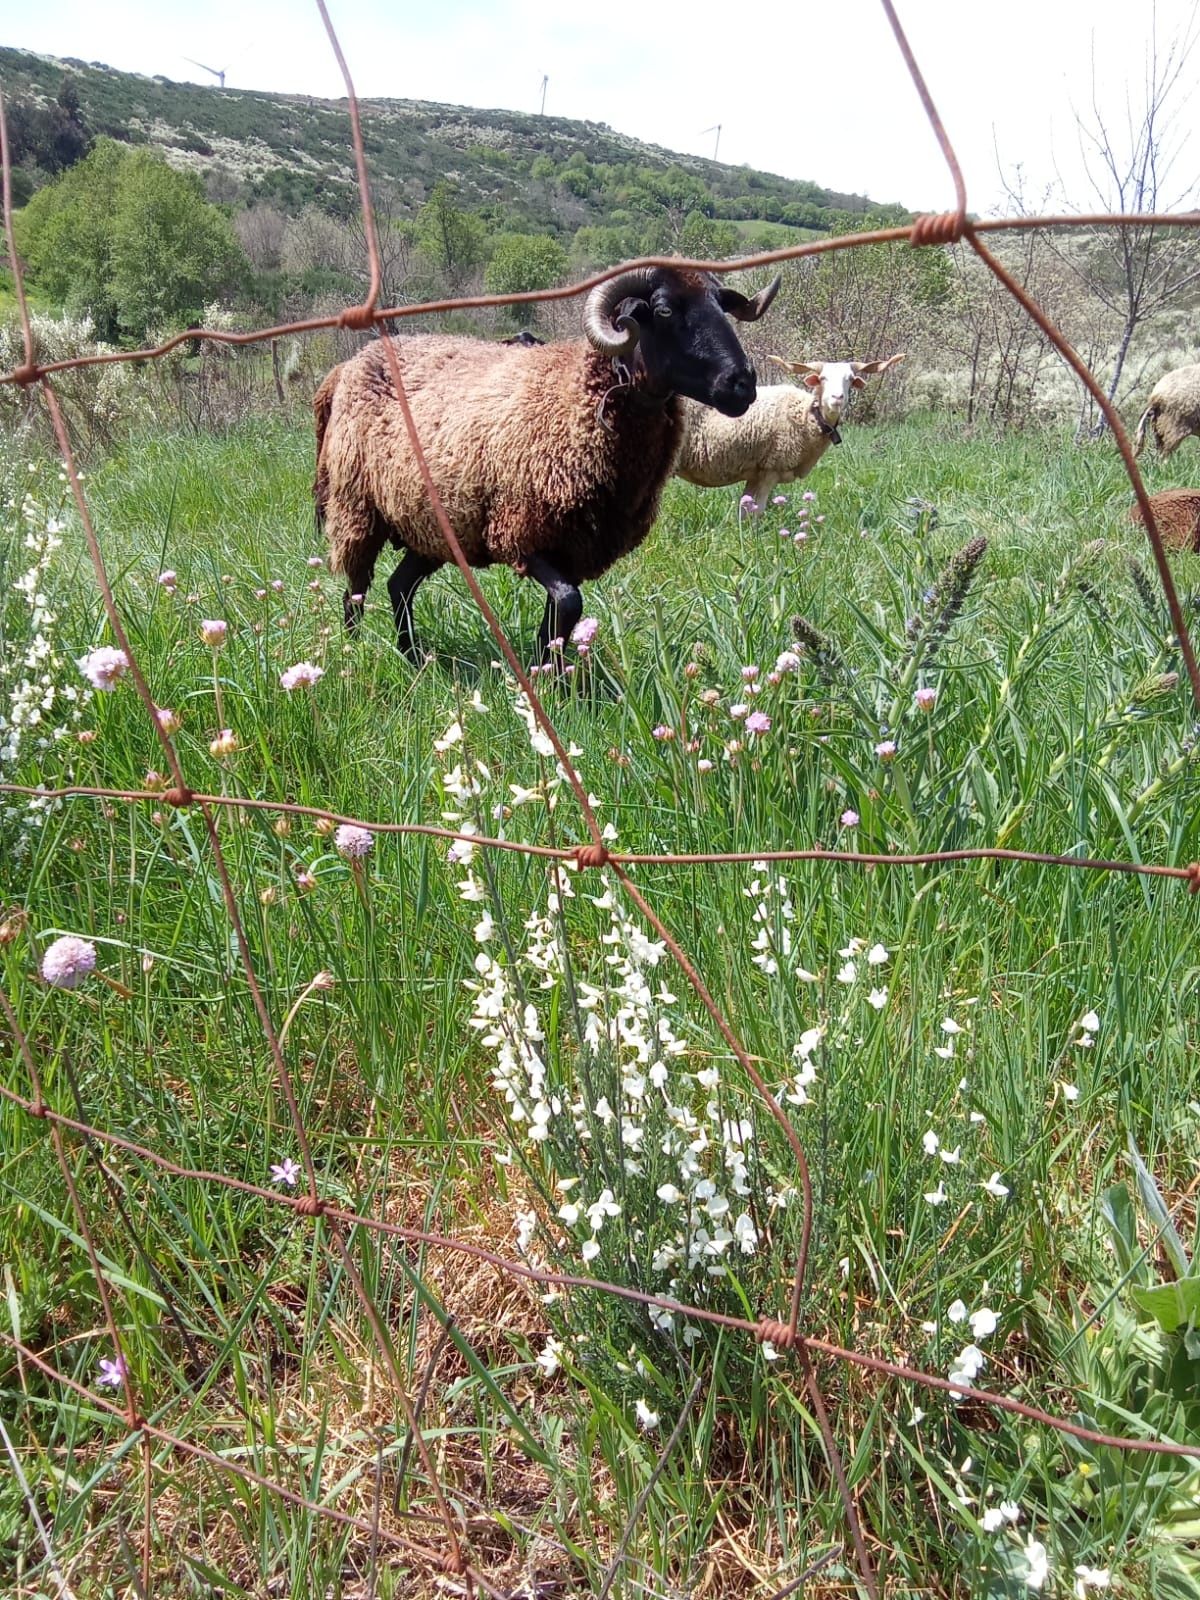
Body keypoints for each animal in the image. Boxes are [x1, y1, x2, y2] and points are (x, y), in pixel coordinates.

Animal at [678, 353, 902, 508]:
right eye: (822, 378)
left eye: (850, 379)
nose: (837, 398)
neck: (806, 415)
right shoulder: (770, 468)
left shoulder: (756, 473)